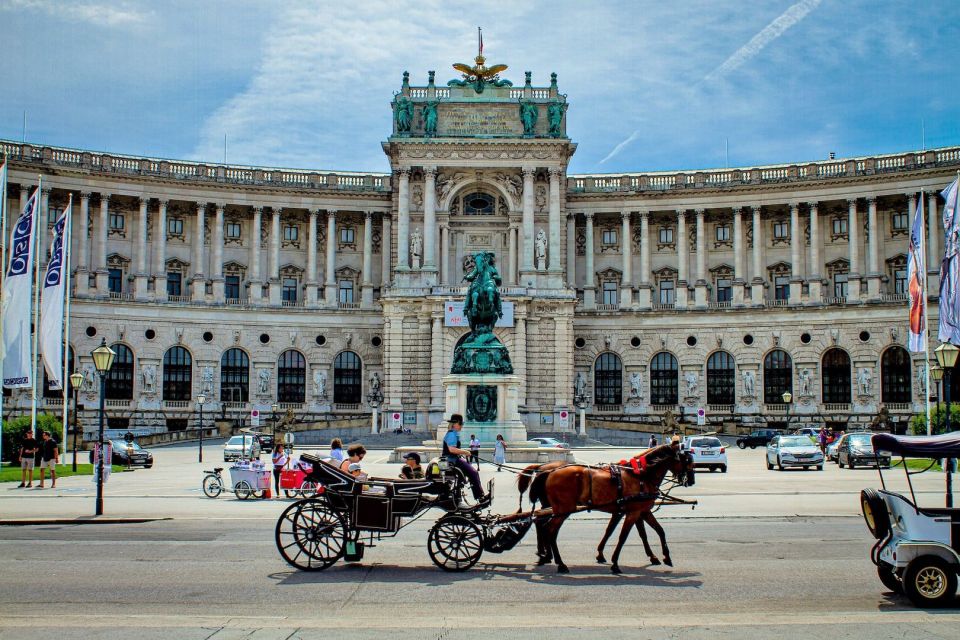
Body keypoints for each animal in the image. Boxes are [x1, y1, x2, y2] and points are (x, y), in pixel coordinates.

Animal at [520, 444, 692, 576]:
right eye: (687, 461)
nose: (690, 481)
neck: (640, 476)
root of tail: (548, 470)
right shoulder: (633, 512)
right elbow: (623, 537)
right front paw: (615, 563)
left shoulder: (637, 511)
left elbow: (656, 531)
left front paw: (664, 557)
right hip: (563, 509)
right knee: (549, 530)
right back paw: (558, 563)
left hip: (556, 508)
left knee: (544, 527)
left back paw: (546, 556)